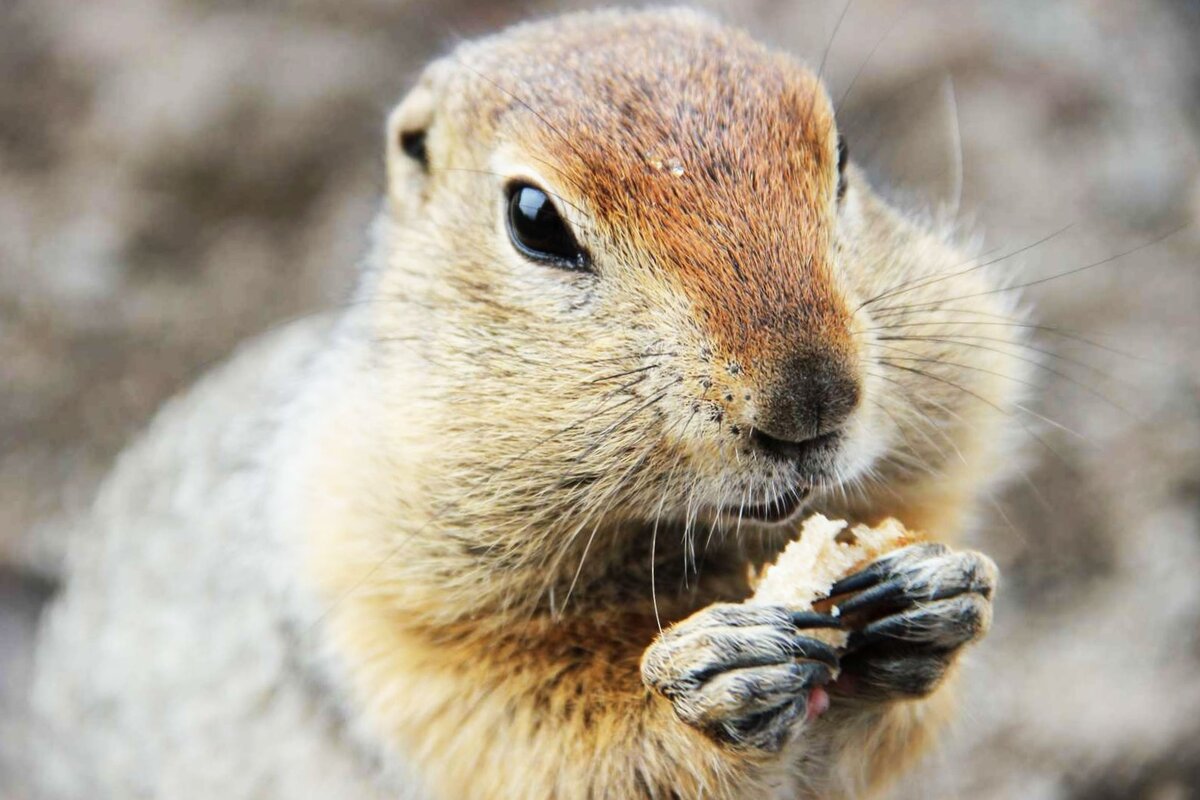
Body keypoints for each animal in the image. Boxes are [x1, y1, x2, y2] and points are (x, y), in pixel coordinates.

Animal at [32, 7, 1032, 800]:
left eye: (844, 158)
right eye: (534, 219)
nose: (812, 396)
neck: (695, 552)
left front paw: (938, 596)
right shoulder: (379, 609)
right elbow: (537, 731)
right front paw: (703, 678)